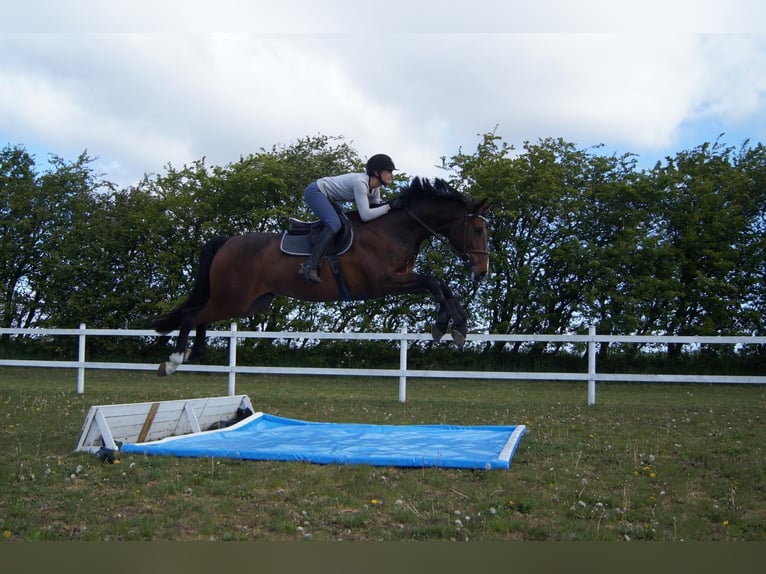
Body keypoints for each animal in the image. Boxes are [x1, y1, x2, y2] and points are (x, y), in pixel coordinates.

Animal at [152, 177, 488, 378]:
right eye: (478, 229)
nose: (482, 271)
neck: (395, 228)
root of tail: (227, 242)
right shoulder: (384, 283)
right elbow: (434, 283)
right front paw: (443, 324)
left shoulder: (402, 278)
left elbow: (441, 285)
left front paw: (458, 326)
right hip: (235, 299)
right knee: (191, 314)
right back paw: (174, 360)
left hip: (246, 303)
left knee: (200, 314)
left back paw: (194, 351)